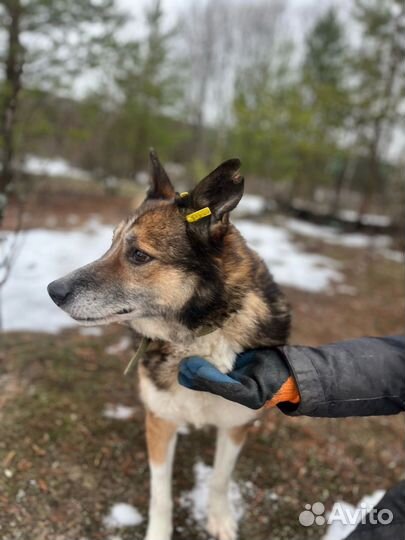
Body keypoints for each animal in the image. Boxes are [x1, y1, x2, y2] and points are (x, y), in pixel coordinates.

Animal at [48, 151, 290, 540]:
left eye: (139, 255)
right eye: (111, 243)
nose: (52, 291)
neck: (196, 339)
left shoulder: (236, 423)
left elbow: (220, 479)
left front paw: (219, 518)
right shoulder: (160, 421)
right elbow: (160, 494)